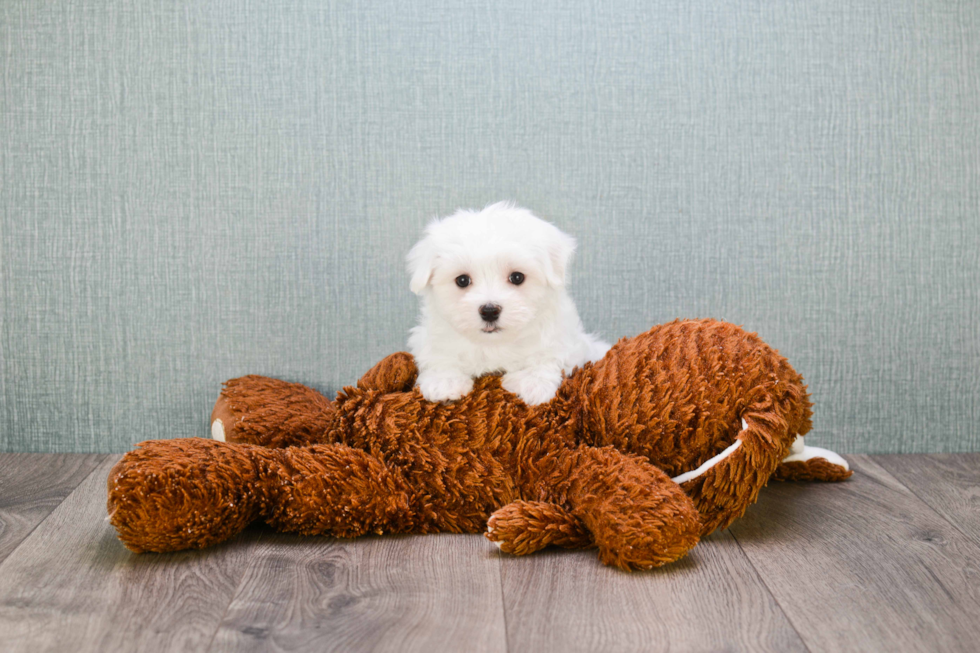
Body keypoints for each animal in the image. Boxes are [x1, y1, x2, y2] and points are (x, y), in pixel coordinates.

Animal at [404, 201, 604, 404]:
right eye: (462, 280)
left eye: (517, 277)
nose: (489, 311)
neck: (494, 344)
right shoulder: (431, 337)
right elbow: (439, 354)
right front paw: (445, 382)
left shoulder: (564, 340)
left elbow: (548, 355)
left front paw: (531, 381)